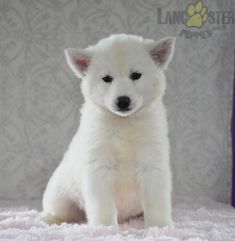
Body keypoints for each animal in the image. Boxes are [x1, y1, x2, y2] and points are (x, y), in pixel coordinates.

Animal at [39, 34, 174, 228]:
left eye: (136, 75)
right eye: (107, 78)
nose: (123, 101)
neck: (124, 123)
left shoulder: (152, 163)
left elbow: (156, 202)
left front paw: (159, 227)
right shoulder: (99, 165)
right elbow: (103, 205)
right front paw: (104, 227)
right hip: (60, 193)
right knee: (63, 211)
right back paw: (49, 218)